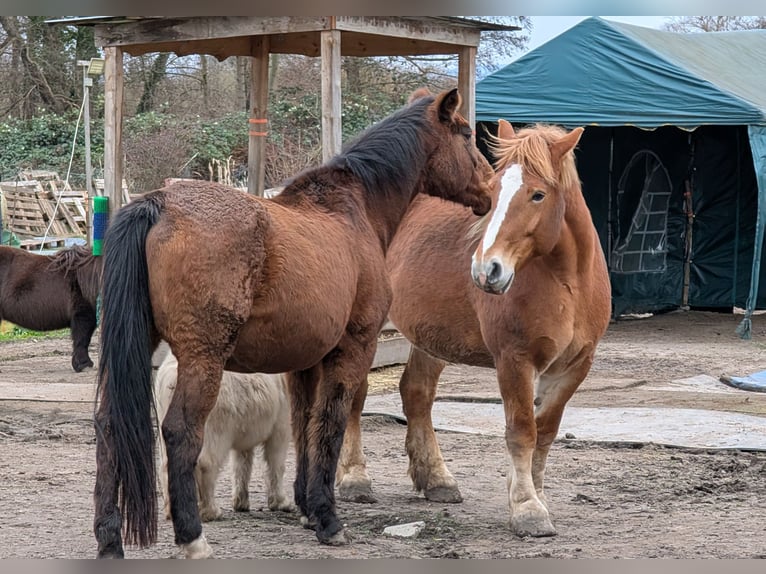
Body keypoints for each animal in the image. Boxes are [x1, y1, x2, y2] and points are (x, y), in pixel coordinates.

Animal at [155, 351, 293, 523]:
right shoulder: (280, 415)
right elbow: (276, 455)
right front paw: (282, 503)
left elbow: (242, 460)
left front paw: (241, 503)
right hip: (214, 412)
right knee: (207, 460)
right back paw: (210, 511)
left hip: (166, 408)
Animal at [338, 120, 611, 538]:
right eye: (493, 190)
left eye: (537, 194)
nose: (487, 270)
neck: (568, 282)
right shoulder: (514, 360)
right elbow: (522, 431)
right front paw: (527, 508)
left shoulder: (574, 366)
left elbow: (546, 432)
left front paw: (535, 496)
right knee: (355, 393)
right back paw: (354, 478)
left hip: (429, 337)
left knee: (416, 393)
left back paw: (437, 480)